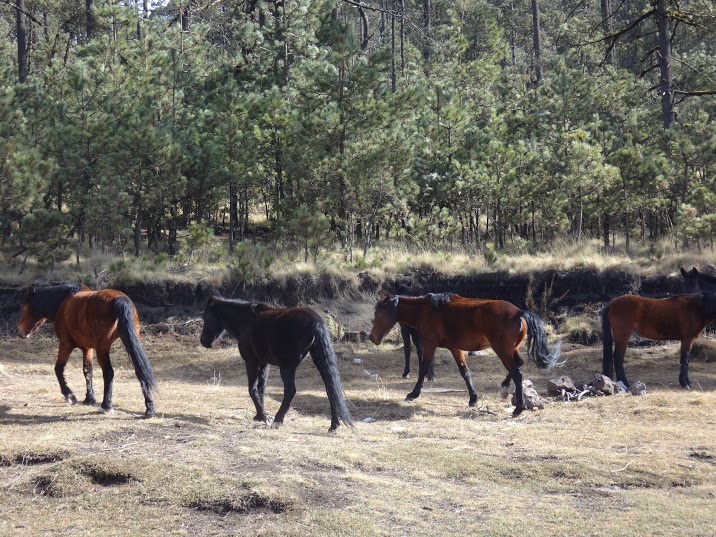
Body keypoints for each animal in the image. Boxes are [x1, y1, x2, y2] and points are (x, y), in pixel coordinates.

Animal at [16, 282, 157, 416]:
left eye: (24, 307)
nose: (19, 331)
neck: (63, 302)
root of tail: (119, 299)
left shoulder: (66, 344)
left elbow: (58, 369)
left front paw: (70, 396)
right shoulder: (88, 348)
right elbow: (87, 371)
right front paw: (89, 399)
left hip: (102, 348)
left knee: (109, 373)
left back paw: (106, 406)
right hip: (130, 342)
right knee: (140, 369)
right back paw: (149, 408)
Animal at [200, 296, 354, 434]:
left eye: (206, 317)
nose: (203, 341)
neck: (246, 322)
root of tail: (316, 323)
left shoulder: (251, 361)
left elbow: (252, 389)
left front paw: (264, 417)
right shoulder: (264, 363)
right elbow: (261, 389)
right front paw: (260, 415)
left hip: (287, 367)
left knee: (290, 391)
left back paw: (277, 421)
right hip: (318, 360)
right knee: (331, 389)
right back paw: (333, 426)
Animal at [370, 294, 564, 414]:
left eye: (379, 314)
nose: (372, 338)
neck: (425, 310)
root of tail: (518, 313)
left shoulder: (429, 344)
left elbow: (424, 369)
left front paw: (413, 394)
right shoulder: (455, 349)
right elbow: (464, 372)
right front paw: (473, 399)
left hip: (503, 351)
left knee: (517, 373)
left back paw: (518, 408)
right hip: (511, 350)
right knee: (518, 365)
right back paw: (504, 385)